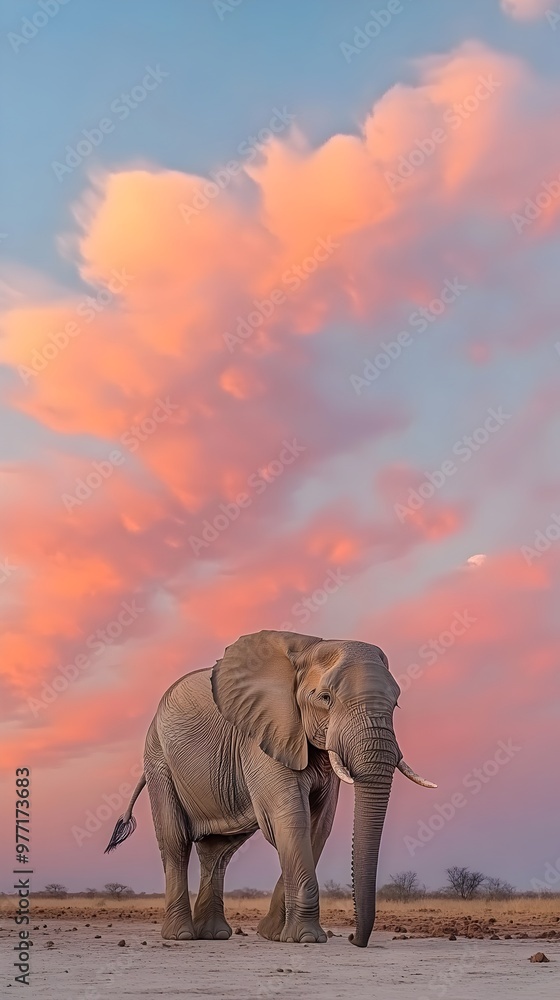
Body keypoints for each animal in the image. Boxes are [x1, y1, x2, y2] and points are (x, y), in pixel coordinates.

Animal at [105, 629, 435, 947]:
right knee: (175, 842)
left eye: (396, 703)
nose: (355, 939)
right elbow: (290, 818)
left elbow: (319, 825)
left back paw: (213, 934)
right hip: (158, 759)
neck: (309, 649)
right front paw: (306, 938)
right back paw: (182, 935)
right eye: (325, 698)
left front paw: (274, 934)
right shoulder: (264, 733)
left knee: (219, 852)